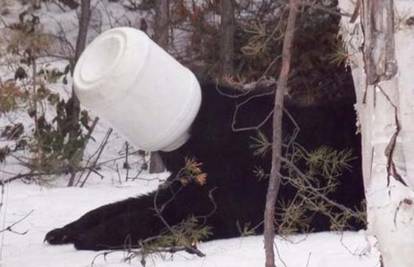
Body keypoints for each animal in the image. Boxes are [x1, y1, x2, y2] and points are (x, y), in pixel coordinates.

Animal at [43, 81, 364, 251]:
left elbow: (153, 218)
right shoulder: (183, 188)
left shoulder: (226, 203)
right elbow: (115, 207)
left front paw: (92, 237)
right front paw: (65, 230)